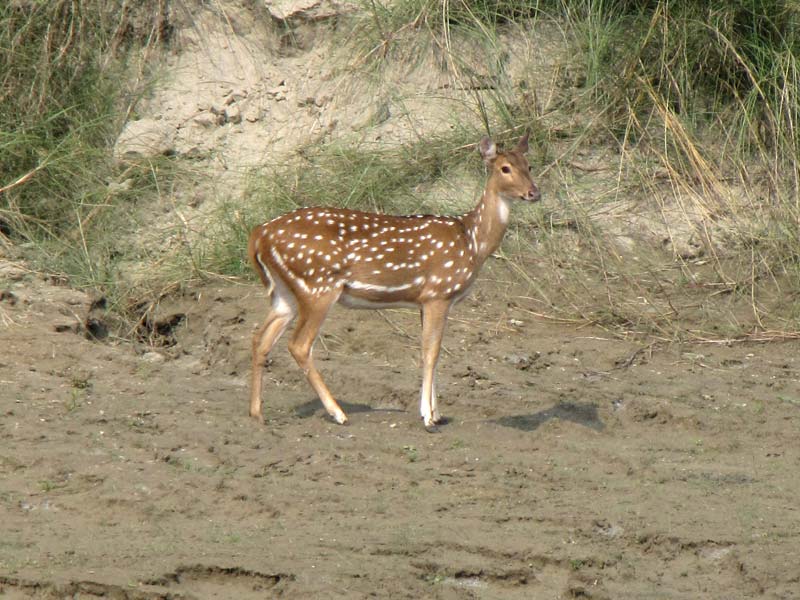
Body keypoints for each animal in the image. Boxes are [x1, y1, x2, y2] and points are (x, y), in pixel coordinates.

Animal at [247, 133, 540, 428]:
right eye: (504, 168)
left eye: (529, 165)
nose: (534, 193)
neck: (472, 242)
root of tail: (259, 235)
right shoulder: (438, 292)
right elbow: (431, 352)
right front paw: (428, 417)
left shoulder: (425, 300)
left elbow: (431, 350)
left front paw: (436, 412)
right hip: (317, 286)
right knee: (298, 345)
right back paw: (338, 413)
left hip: (285, 293)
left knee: (260, 339)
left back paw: (257, 413)